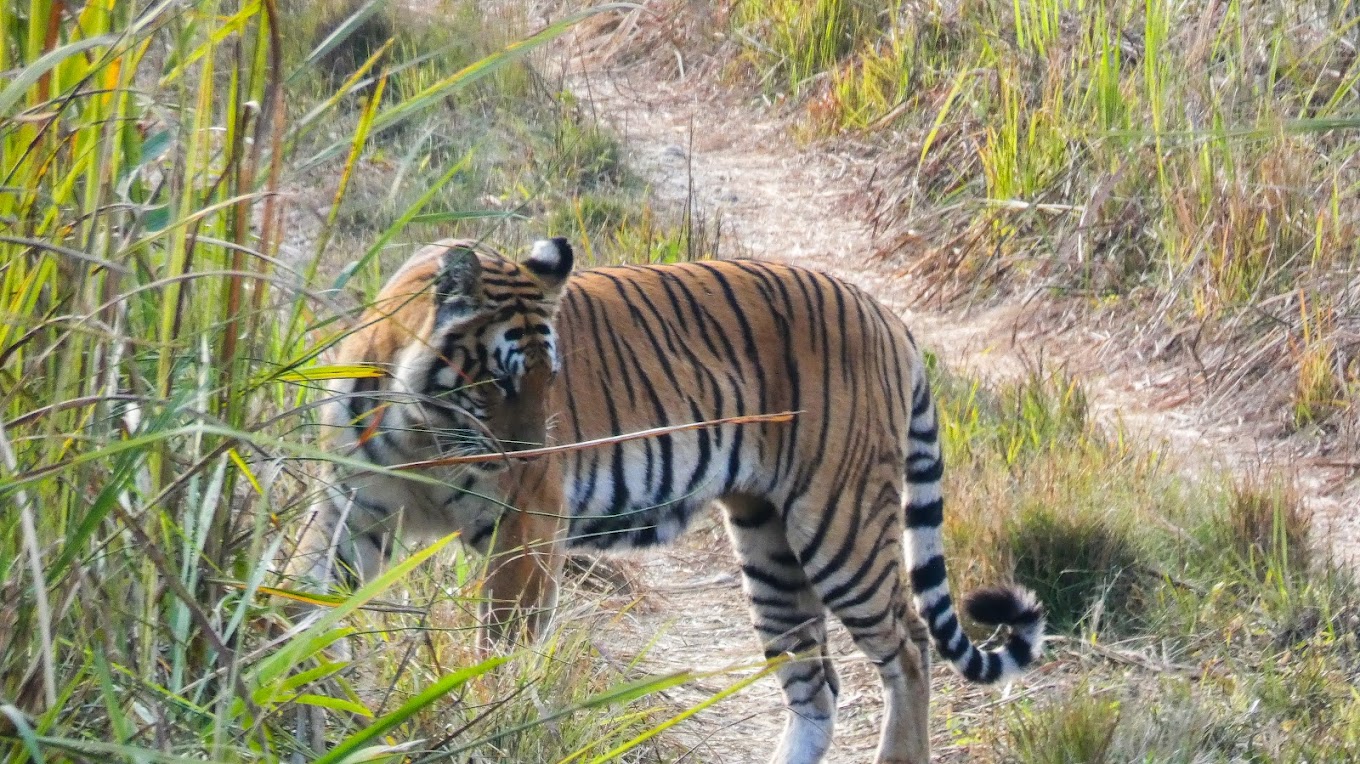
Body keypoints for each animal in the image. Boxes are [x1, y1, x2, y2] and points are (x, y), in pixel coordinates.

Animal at [295, 237, 1039, 761]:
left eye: (549, 380)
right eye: (502, 382)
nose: (534, 455)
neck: (423, 429)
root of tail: (884, 314)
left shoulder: (527, 523)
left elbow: (502, 643)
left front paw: (490, 712)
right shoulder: (349, 508)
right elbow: (309, 595)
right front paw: (302, 686)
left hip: (838, 523)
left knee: (908, 647)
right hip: (769, 547)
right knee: (816, 684)